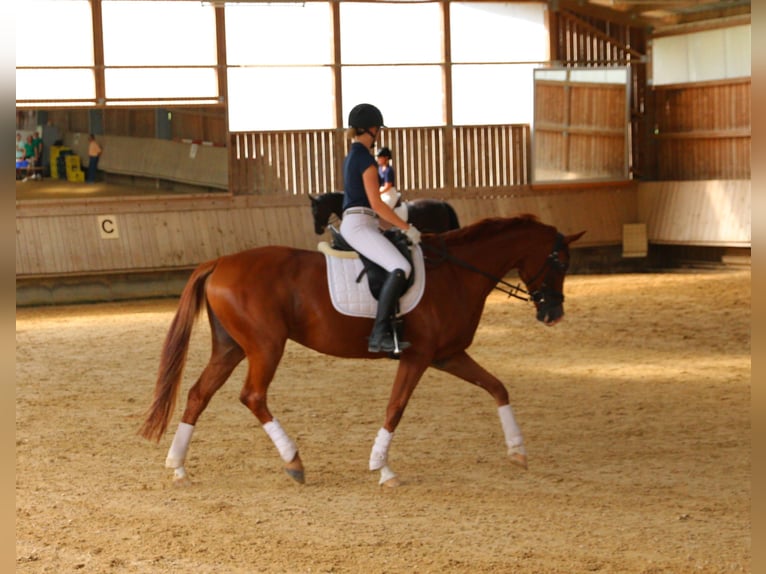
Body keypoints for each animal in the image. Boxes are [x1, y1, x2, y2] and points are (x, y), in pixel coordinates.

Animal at [141, 217, 584, 490]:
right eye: (560, 261)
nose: (553, 314)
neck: (458, 273)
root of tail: (220, 262)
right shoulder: (418, 356)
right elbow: (396, 408)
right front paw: (383, 468)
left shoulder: (448, 355)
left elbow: (497, 388)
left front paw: (518, 451)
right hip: (266, 346)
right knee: (252, 396)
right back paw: (294, 461)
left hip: (232, 347)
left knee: (199, 394)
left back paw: (177, 467)